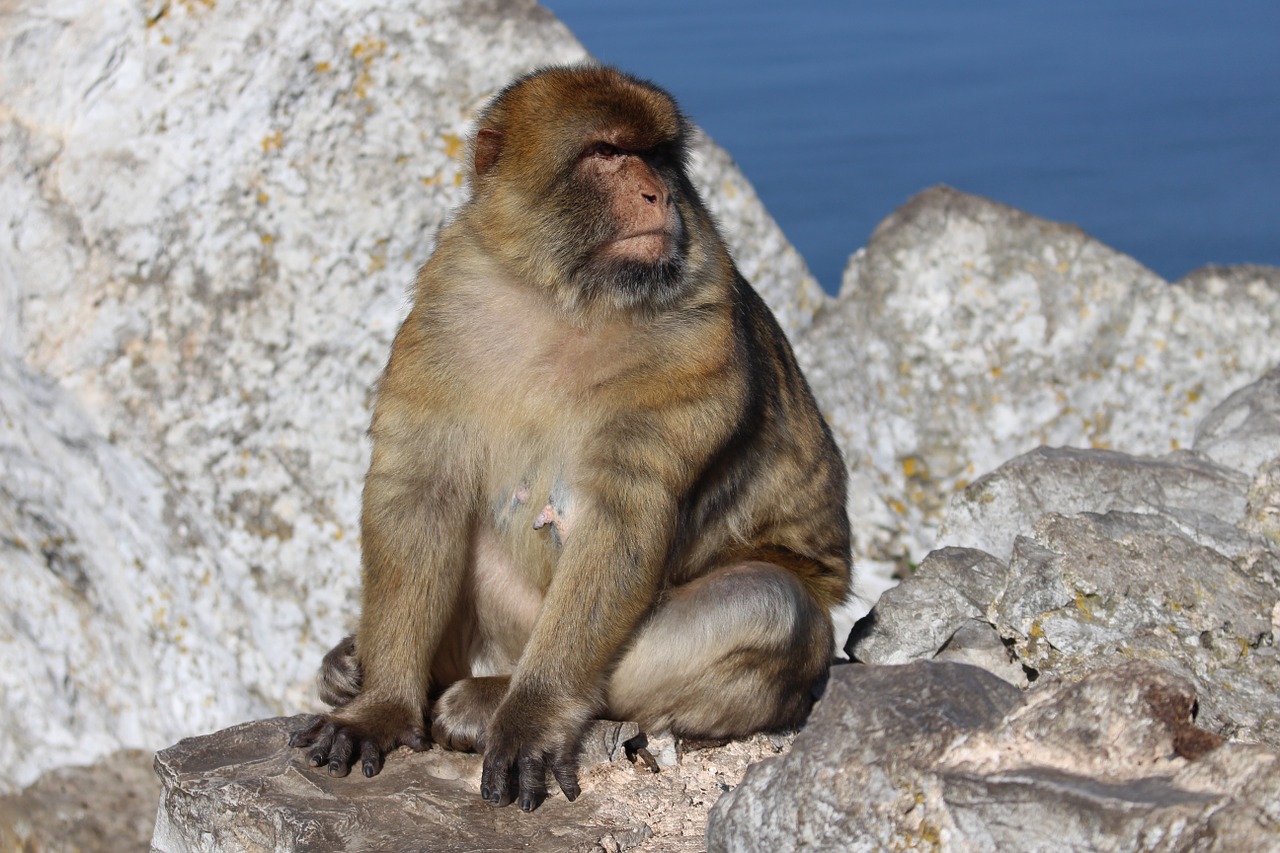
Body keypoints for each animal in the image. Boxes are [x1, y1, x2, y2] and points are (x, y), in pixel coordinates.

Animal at [290, 63, 849, 809]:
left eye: (659, 156)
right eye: (606, 153)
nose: (656, 192)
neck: (565, 299)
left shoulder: (695, 337)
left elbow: (622, 519)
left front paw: (533, 716)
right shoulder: (446, 301)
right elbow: (422, 490)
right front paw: (379, 704)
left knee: (767, 606)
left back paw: (489, 697)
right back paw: (365, 667)